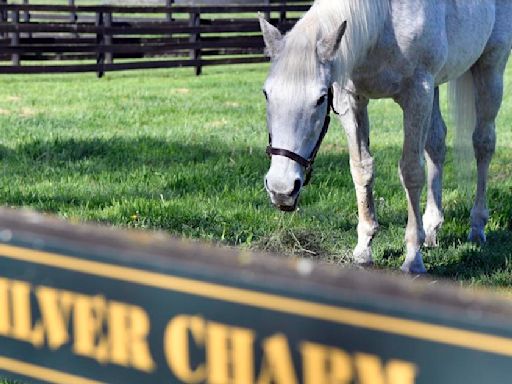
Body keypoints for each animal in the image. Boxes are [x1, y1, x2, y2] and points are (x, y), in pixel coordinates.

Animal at [262, 1, 510, 274]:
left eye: (320, 99)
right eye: (266, 93)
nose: (281, 189)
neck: (383, 23)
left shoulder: (417, 94)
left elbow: (411, 172)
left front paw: (413, 258)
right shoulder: (352, 100)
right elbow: (362, 169)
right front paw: (364, 248)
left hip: (490, 69)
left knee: (483, 144)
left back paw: (477, 227)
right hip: (435, 87)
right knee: (436, 144)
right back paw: (431, 228)